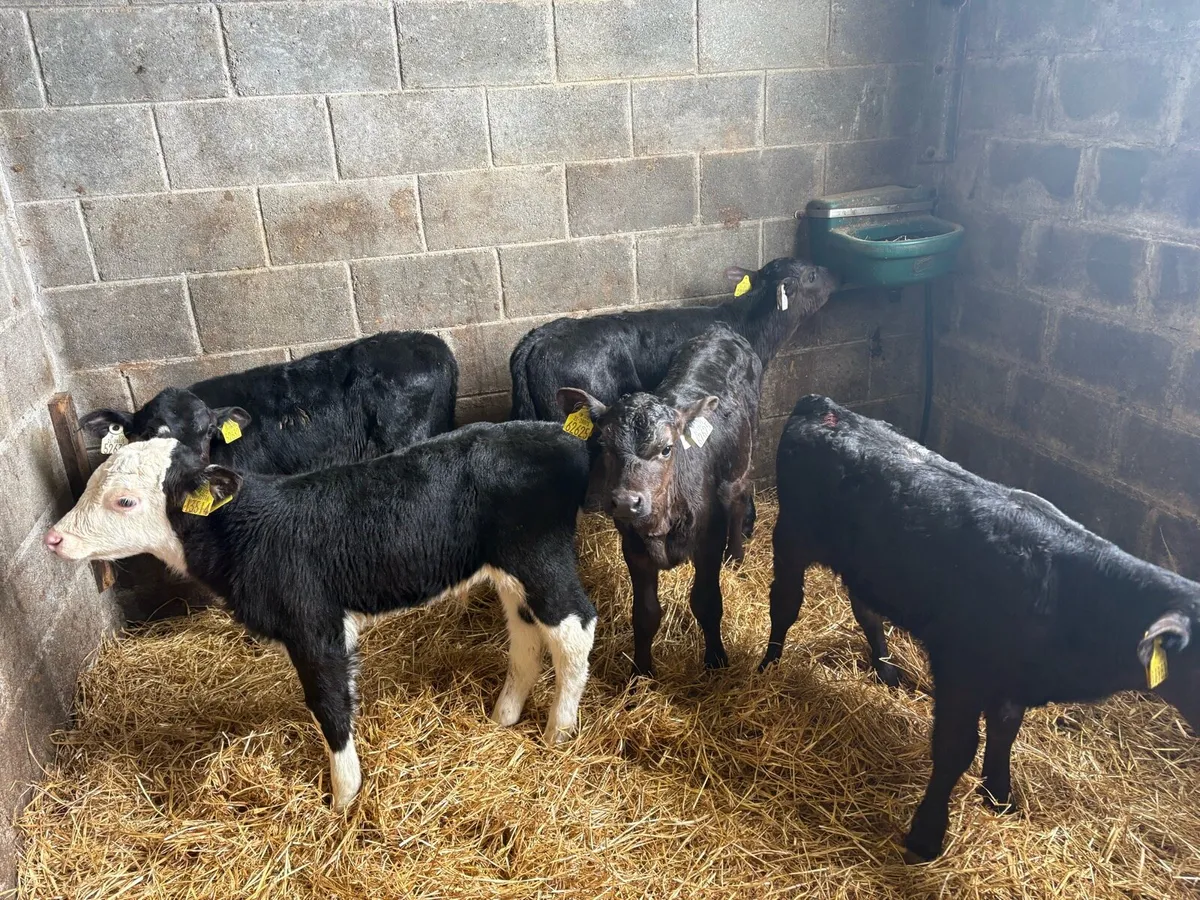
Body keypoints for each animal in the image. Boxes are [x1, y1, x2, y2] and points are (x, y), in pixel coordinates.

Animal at [44, 421, 599, 811]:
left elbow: (328, 703)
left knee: (574, 627)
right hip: (510, 569)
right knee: (527, 632)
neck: (246, 530)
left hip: (538, 555)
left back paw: (559, 731)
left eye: (125, 501)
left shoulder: (313, 624)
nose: (54, 538)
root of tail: (561, 435)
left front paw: (343, 797)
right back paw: (504, 715)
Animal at [557, 325, 763, 678]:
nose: (627, 501)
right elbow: (645, 613)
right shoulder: (634, 548)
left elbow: (707, 602)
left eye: (667, 448)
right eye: (604, 444)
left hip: (742, 456)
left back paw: (736, 557)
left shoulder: (708, 540)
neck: (663, 521)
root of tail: (720, 330)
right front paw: (641, 672)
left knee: (737, 499)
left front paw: (716, 661)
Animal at [760, 395, 1200, 862]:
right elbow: (956, 748)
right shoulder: (961, 669)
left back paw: (886, 669)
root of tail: (823, 405)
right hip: (792, 534)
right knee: (785, 604)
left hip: (867, 566)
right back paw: (768, 667)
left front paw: (999, 796)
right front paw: (926, 836)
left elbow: (1005, 730)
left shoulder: (1011, 677)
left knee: (867, 611)